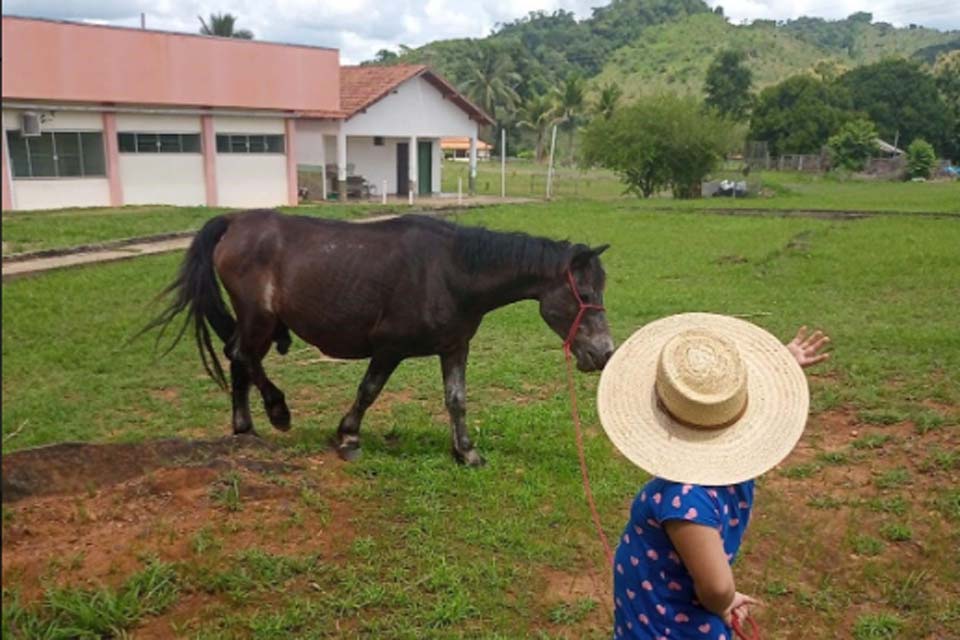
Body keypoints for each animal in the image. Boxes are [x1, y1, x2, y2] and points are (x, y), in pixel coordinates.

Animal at [150, 210, 616, 464]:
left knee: (240, 358)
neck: (450, 272)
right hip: (258, 319)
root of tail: (235, 220)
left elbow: (457, 400)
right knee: (243, 356)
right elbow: (368, 391)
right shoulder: (389, 349)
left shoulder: (454, 347)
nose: (604, 353)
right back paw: (276, 411)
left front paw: (465, 451)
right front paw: (348, 437)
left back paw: (245, 427)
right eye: (585, 294)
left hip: (259, 323)